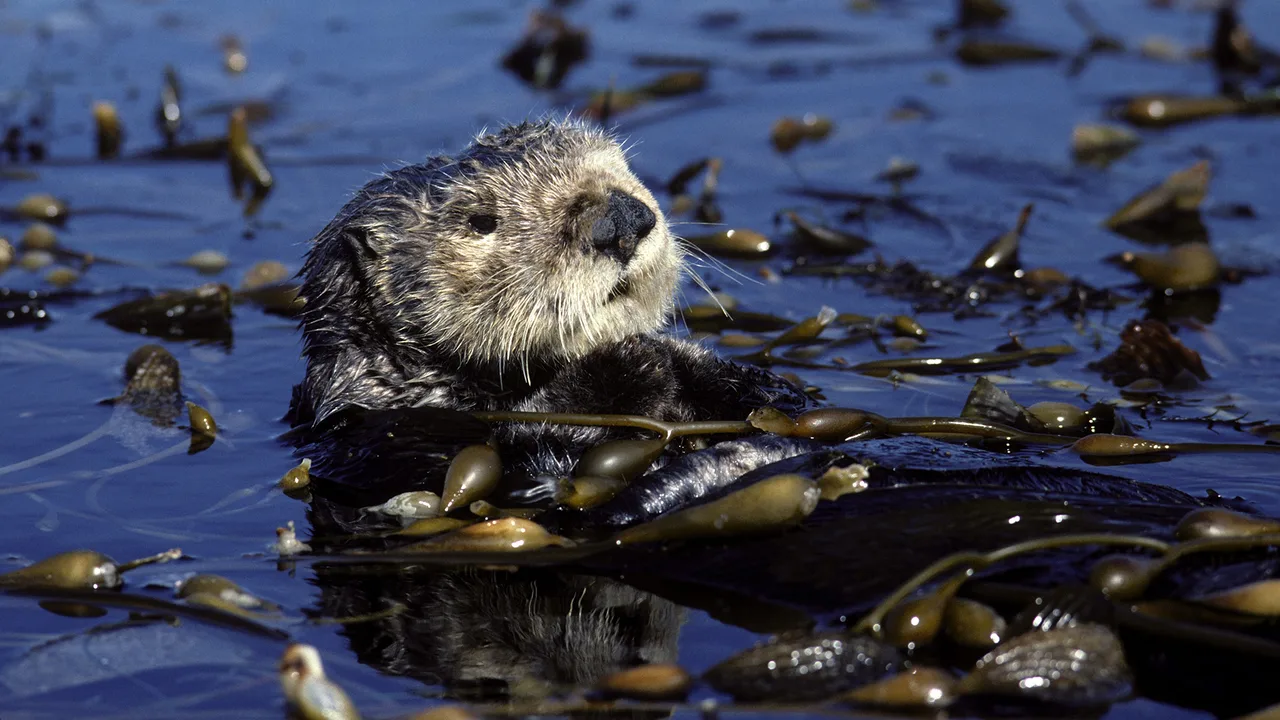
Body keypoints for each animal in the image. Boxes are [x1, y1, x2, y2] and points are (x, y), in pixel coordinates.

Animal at [288, 118, 813, 503]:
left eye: (620, 166)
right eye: (481, 221)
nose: (621, 218)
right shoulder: (389, 445)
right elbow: (531, 466)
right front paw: (629, 363)